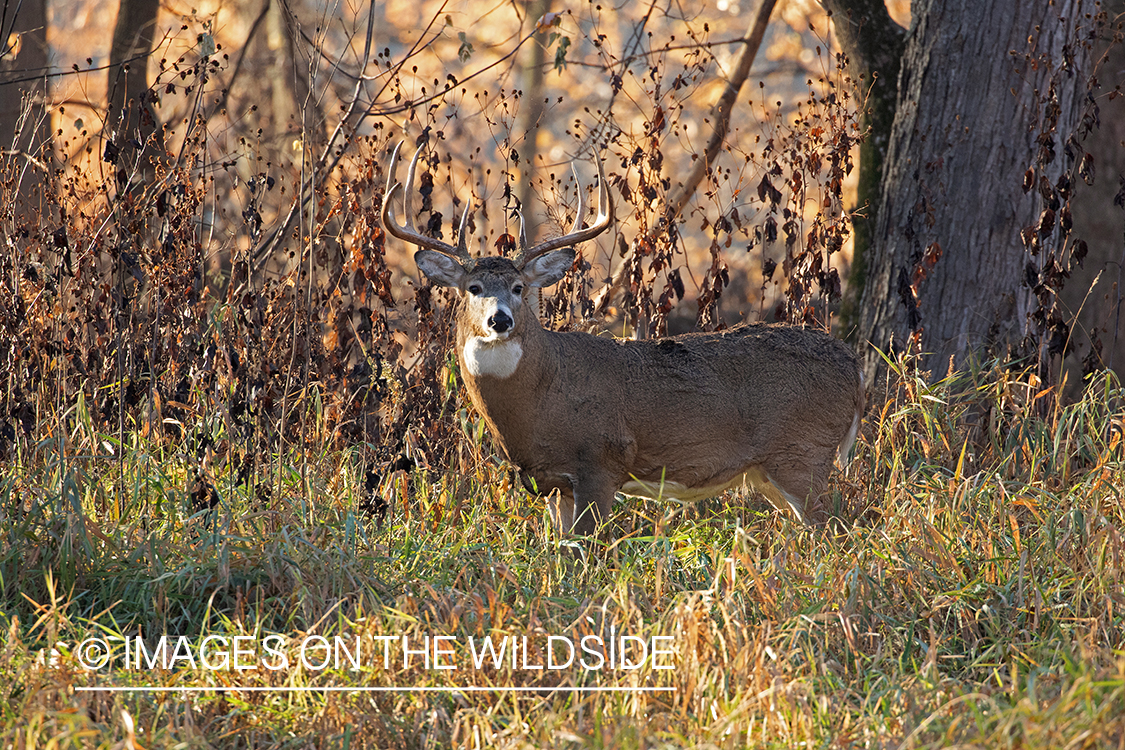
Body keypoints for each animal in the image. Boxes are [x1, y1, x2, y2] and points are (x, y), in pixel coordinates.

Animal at [382, 140, 864, 539]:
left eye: (519, 288)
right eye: (473, 288)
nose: (499, 319)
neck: (543, 393)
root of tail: (855, 367)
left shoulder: (601, 460)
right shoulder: (552, 483)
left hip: (804, 451)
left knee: (836, 532)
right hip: (774, 471)